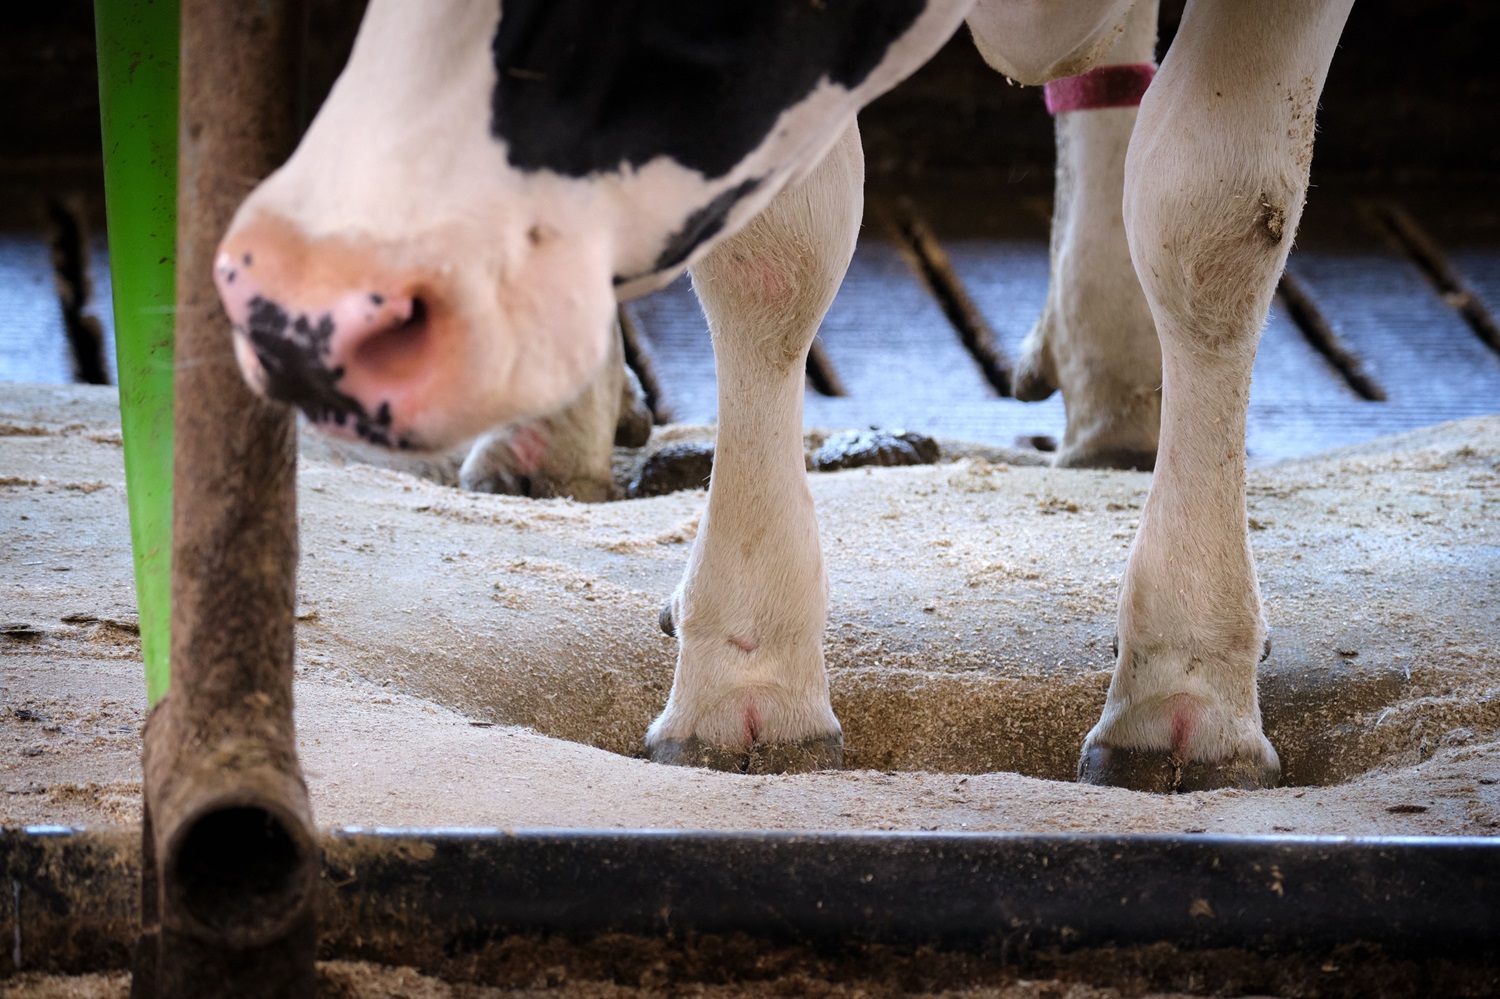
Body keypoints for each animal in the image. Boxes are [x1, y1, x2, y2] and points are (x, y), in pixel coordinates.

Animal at [214, 0, 1356, 790]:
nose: (295, 306)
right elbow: (772, 249)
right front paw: (748, 676)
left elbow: (1213, 214)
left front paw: (1189, 686)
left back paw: (1119, 400)